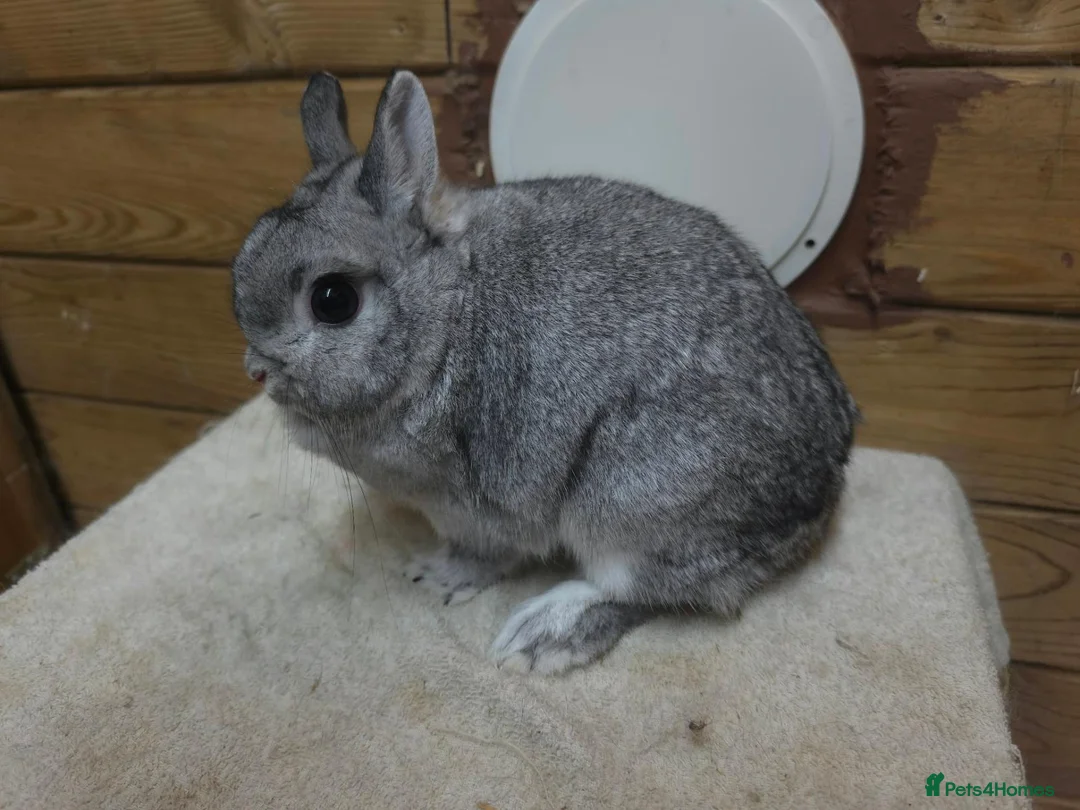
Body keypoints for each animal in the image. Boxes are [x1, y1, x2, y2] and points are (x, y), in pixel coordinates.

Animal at [232, 70, 859, 675]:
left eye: (333, 300)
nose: (257, 373)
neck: (448, 316)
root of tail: (819, 493)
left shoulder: (475, 508)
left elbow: (484, 554)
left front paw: (436, 577)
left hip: (632, 501)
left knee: (645, 588)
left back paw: (539, 638)